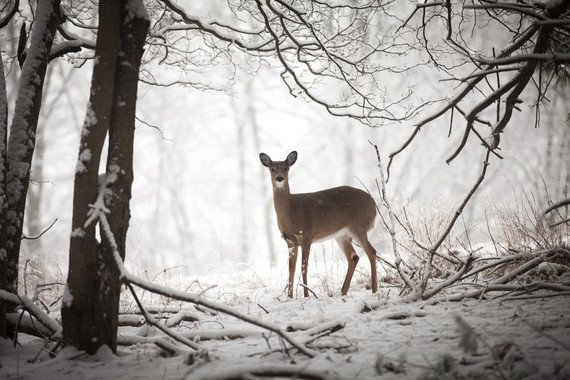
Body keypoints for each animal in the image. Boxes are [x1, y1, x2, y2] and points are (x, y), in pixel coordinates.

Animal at [258, 151, 378, 296]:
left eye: (286, 168)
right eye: (272, 169)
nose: (279, 178)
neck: (291, 210)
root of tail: (373, 203)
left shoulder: (307, 234)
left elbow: (304, 266)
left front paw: (306, 295)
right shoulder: (290, 240)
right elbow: (291, 269)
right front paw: (290, 297)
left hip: (358, 227)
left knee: (372, 252)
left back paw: (374, 290)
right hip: (341, 234)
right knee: (353, 257)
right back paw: (343, 292)